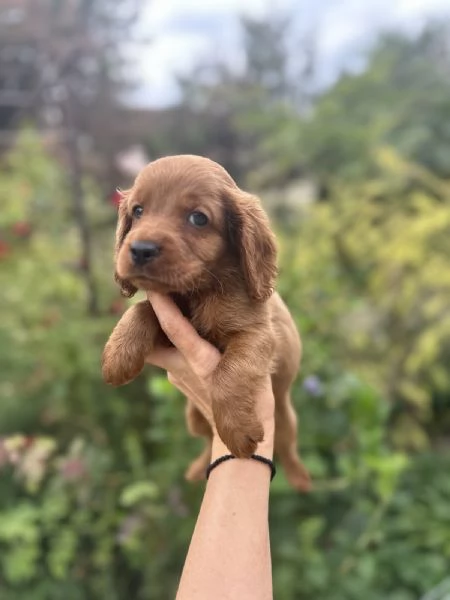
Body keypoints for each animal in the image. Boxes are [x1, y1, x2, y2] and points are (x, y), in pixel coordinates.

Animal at [103, 155, 310, 492]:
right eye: (138, 211)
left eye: (198, 218)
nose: (141, 249)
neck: (200, 292)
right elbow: (143, 309)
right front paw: (117, 356)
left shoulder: (259, 334)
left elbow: (230, 372)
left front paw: (238, 432)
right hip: (194, 418)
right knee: (206, 442)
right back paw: (198, 469)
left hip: (287, 419)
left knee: (288, 448)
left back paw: (299, 478)